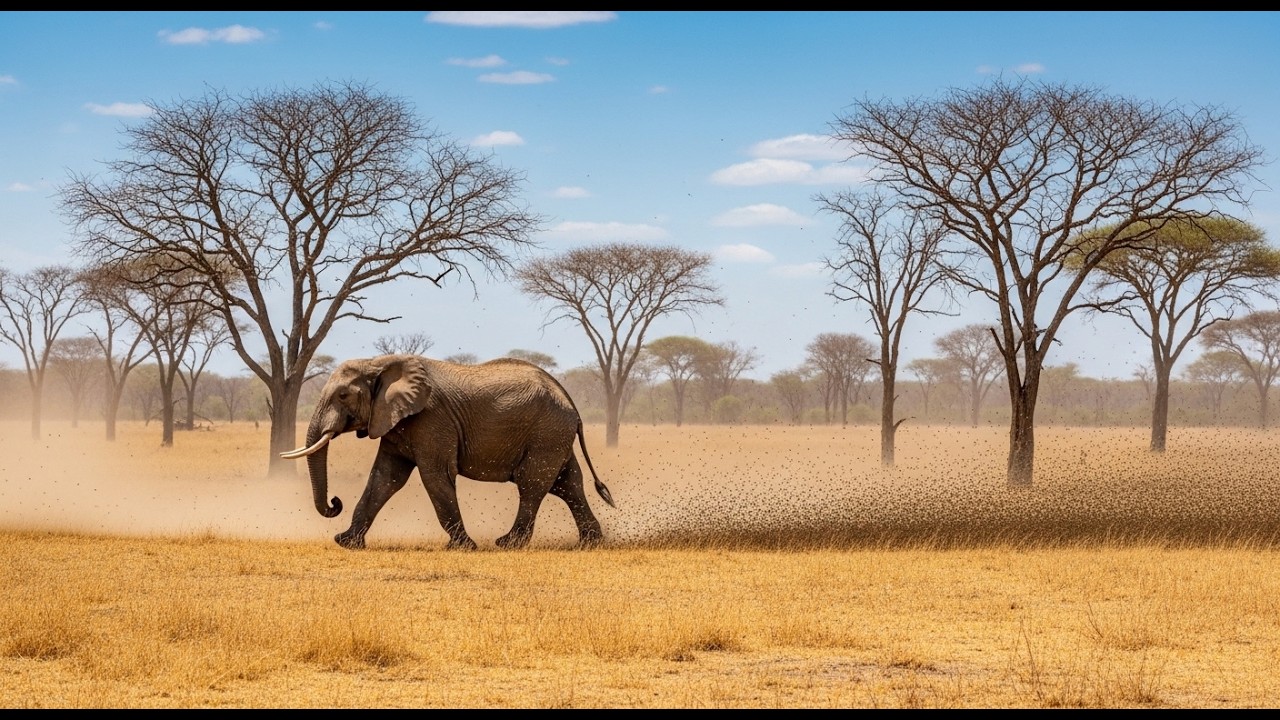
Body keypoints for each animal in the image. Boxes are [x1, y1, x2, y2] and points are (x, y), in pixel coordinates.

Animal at [280, 353, 616, 550]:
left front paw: (463, 547)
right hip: (553, 434)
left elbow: (435, 476)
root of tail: (571, 403)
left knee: (532, 483)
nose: (335, 502)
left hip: (547, 431)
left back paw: (507, 544)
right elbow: (385, 478)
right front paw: (346, 542)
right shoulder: (393, 420)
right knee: (567, 483)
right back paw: (591, 543)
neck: (379, 363)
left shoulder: (431, 419)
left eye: (343, 395)